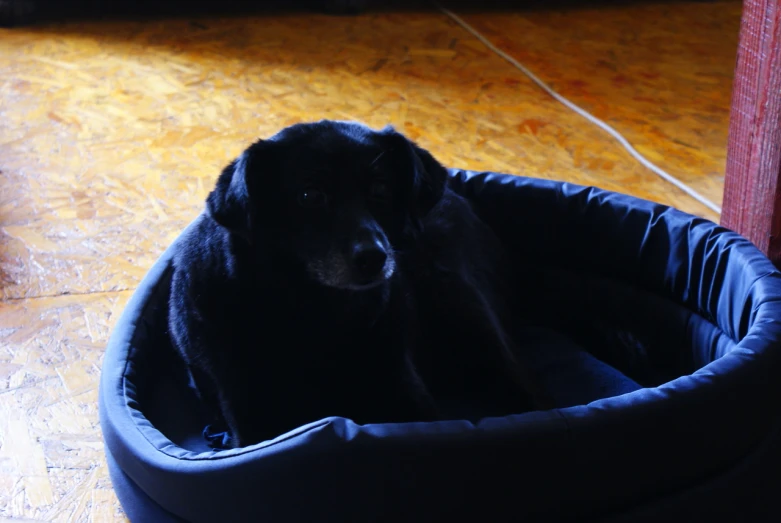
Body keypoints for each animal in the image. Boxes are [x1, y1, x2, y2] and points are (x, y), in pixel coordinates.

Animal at [171, 121, 548, 448]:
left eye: (380, 190)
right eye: (309, 195)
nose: (373, 258)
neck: (313, 310)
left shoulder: (407, 393)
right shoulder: (250, 415)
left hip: (467, 312)